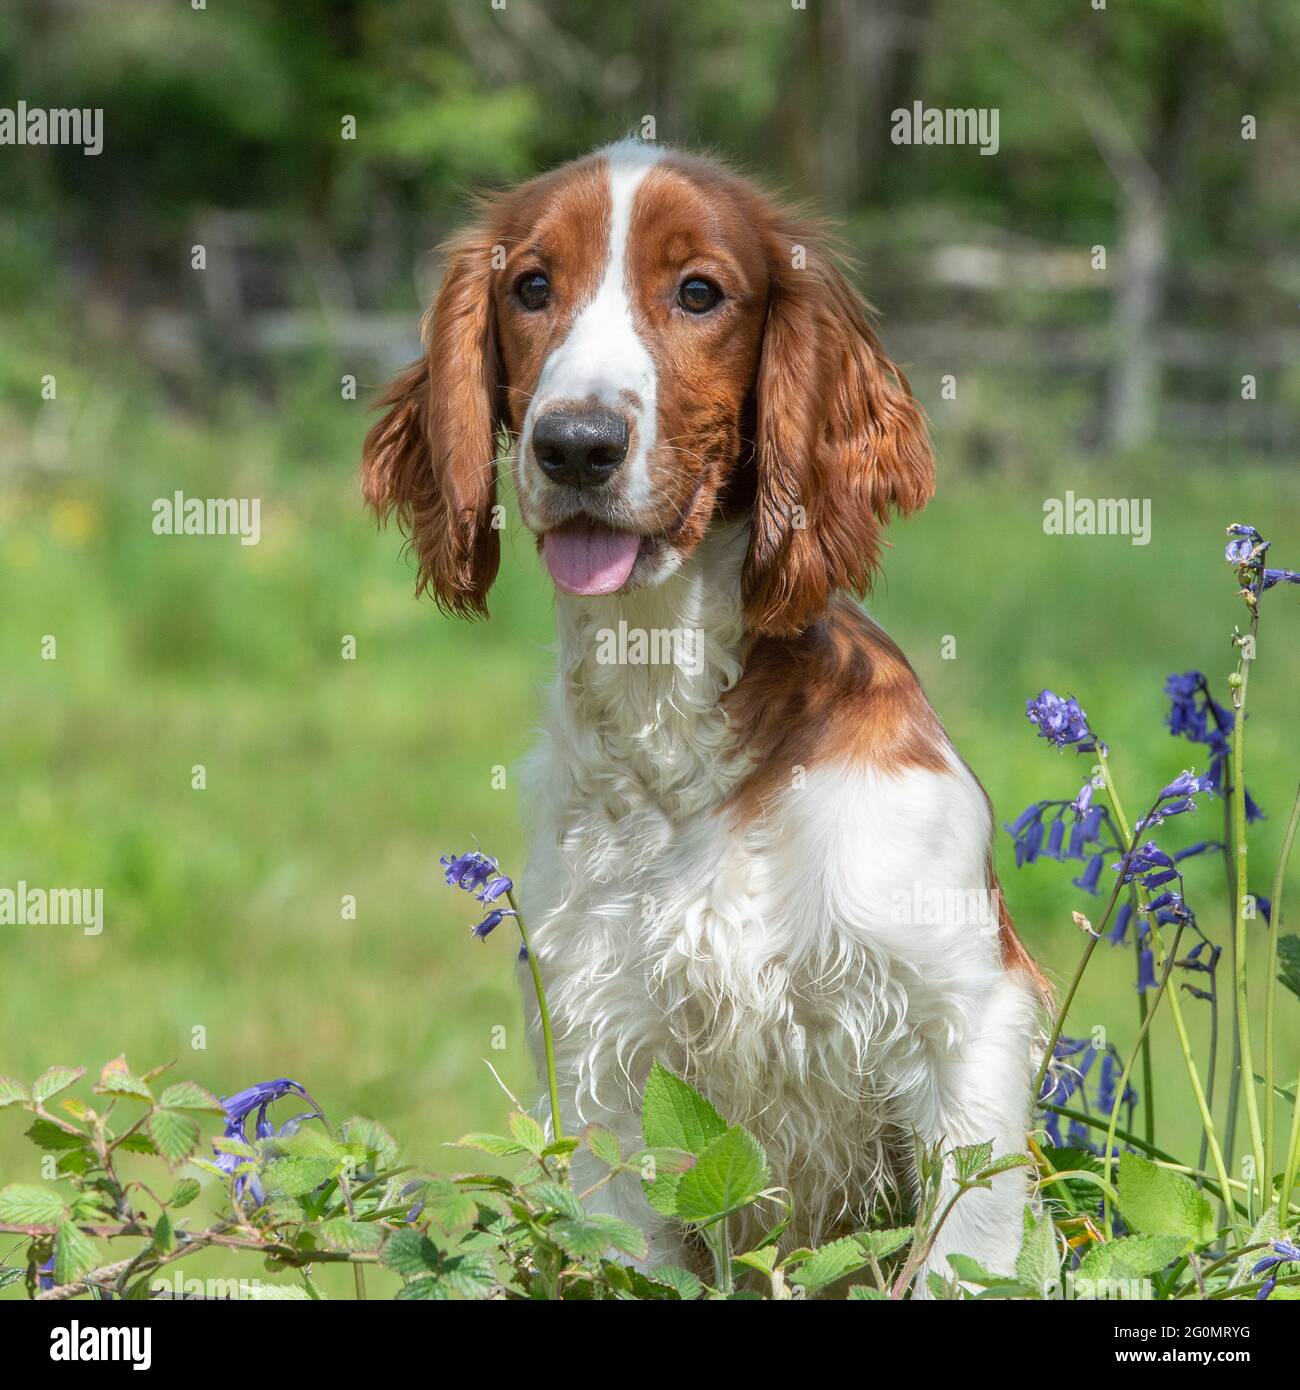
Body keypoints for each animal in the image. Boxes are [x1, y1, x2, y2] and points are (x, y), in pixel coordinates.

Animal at [364, 143, 1045, 1289]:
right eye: (531, 287)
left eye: (698, 292)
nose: (576, 444)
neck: (679, 726)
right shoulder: (600, 1059)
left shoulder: (967, 1020)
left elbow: (969, 1247)